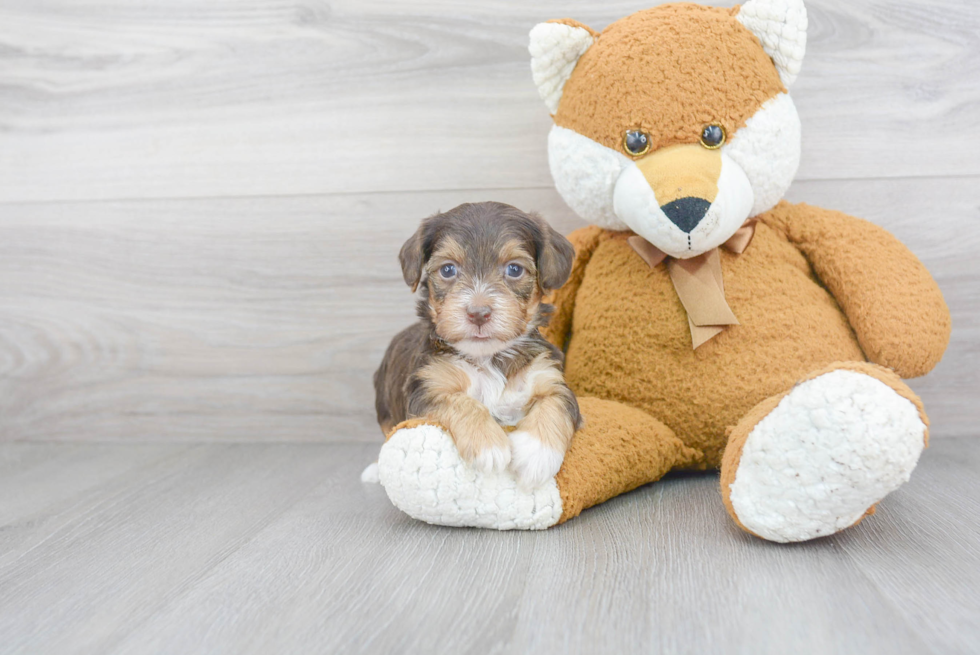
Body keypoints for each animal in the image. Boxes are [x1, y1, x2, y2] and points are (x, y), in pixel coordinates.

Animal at [372, 202, 580, 490]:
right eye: (448, 270)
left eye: (514, 269)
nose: (478, 313)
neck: (489, 357)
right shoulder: (426, 387)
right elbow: (458, 400)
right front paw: (489, 445)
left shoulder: (549, 377)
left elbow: (556, 403)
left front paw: (537, 455)